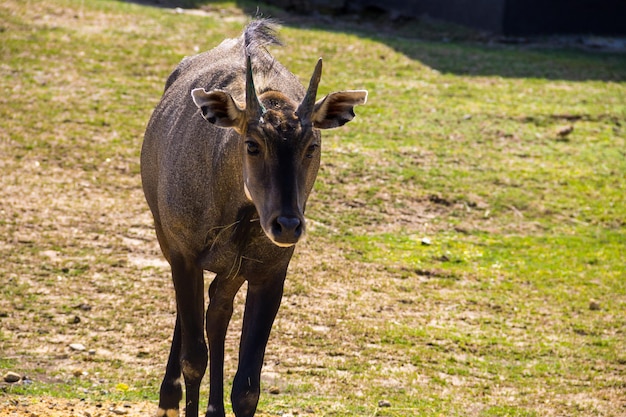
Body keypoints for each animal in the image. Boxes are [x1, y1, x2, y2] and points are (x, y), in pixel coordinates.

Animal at [141, 18, 366, 416]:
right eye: (252, 144)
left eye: (312, 145)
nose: (287, 225)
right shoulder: (185, 257)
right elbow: (193, 358)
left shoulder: (269, 272)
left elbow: (247, 387)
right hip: (170, 241)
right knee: (192, 321)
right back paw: (169, 397)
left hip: (232, 270)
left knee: (217, 313)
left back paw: (213, 408)